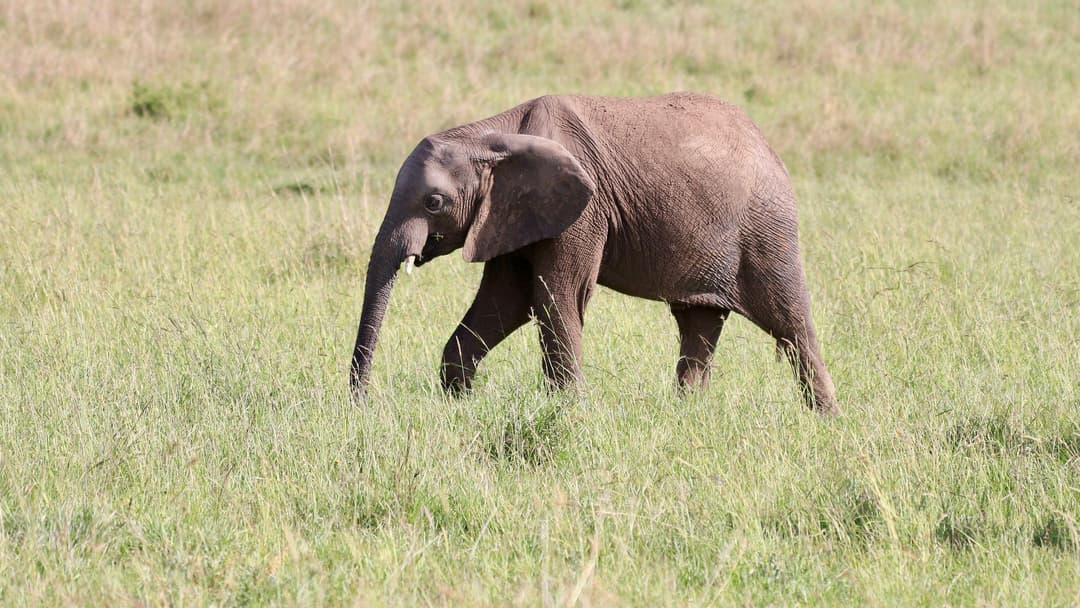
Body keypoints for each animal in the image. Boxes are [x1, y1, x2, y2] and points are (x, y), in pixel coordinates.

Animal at [349, 92, 838, 414]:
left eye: (434, 202)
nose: (362, 405)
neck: (491, 136)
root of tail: (766, 142)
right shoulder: (509, 214)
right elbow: (505, 301)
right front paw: (460, 402)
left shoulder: (582, 211)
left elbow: (555, 296)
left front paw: (567, 412)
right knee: (699, 322)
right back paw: (687, 416)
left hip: (766, 227)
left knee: (790, 322)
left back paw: (825, 419)